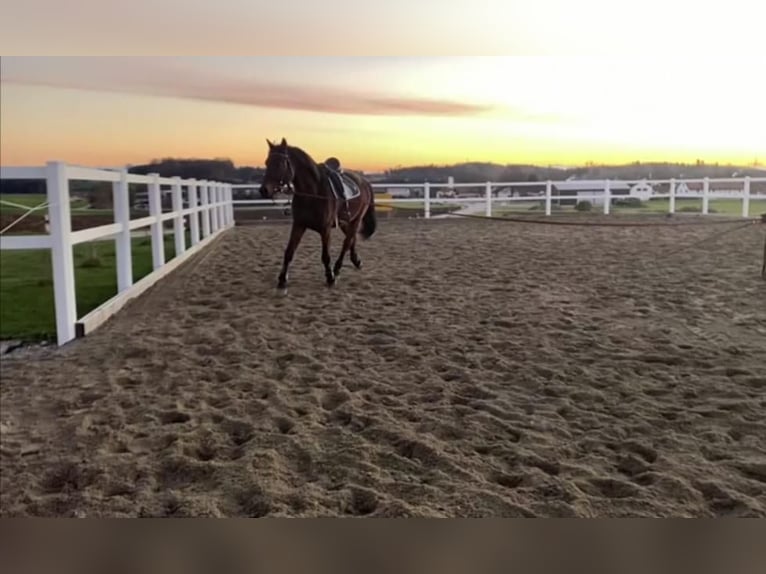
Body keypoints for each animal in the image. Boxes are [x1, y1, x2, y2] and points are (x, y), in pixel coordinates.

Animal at [258, 139, 378, 292]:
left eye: (280, 164)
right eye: (267, 162)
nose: (264, 190)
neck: (313, 192)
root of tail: (364, 182)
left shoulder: (325, 230)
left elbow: (325, 256)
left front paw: (330, 278)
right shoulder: (299, 225)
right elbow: (289, 252)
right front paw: (282, 280)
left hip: (356, 220)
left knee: (346, 242)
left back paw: (337, 268)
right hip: (346, 221)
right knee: (352, 239)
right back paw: (356, 261)